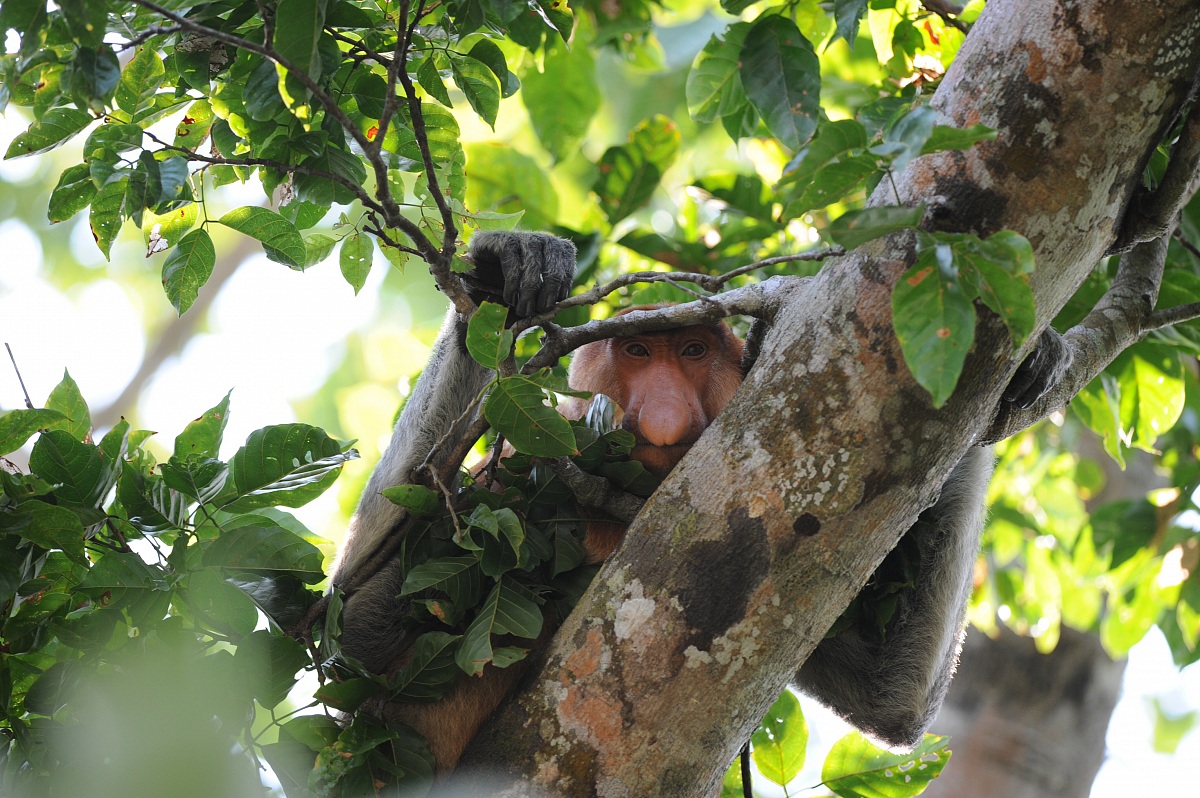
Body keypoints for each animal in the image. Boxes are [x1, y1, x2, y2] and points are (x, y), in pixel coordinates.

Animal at [330, 229, 1071, 771]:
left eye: (690, 351)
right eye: (634, 352)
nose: (664, 416)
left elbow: (892, 698)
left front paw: (1027, 364)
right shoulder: (513, 467)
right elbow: (351, 629)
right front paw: (501, 273)